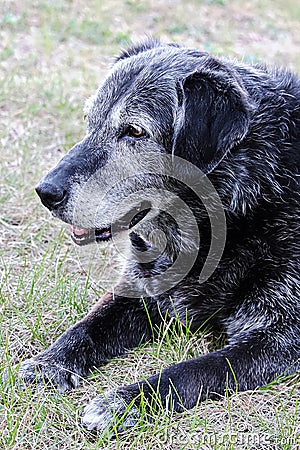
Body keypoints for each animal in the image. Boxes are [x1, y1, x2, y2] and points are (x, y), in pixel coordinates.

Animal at [17, 39, 298, 432]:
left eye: (135, 132)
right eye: (90, 121)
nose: (46, 193)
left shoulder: (279, 338)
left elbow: (192, 372)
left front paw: (124, 401)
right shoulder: (140, 288)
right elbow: (87, 327)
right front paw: (49, 363)